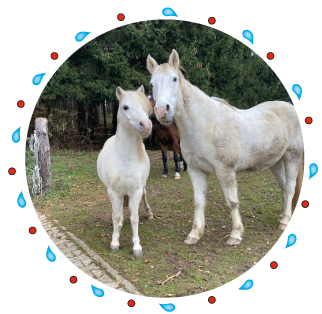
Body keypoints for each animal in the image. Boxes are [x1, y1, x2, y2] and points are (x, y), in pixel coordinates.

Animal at [97, 84, 153, 256]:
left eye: (146, 108)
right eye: (125, 107)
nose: (146, 125)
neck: (126, 160)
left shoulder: (136, 191)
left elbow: (135, 218)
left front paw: (137, 247)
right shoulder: (114, 192)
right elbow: (115, 217)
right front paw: (114, 243)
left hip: (142, 188)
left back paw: (149, 213)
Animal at [147, 49, 304, 247]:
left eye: (174, 79)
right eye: (152, 84)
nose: (162, 112)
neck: (205, 125)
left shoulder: (225, 171)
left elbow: (232, 202)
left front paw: (235, 235)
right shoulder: (196, 171)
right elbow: (198, 202)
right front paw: (194, 234)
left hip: (292, 157)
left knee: (290, 187)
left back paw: (283, 222)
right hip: (276, 162)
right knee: (283, 187)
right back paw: (283, 217)